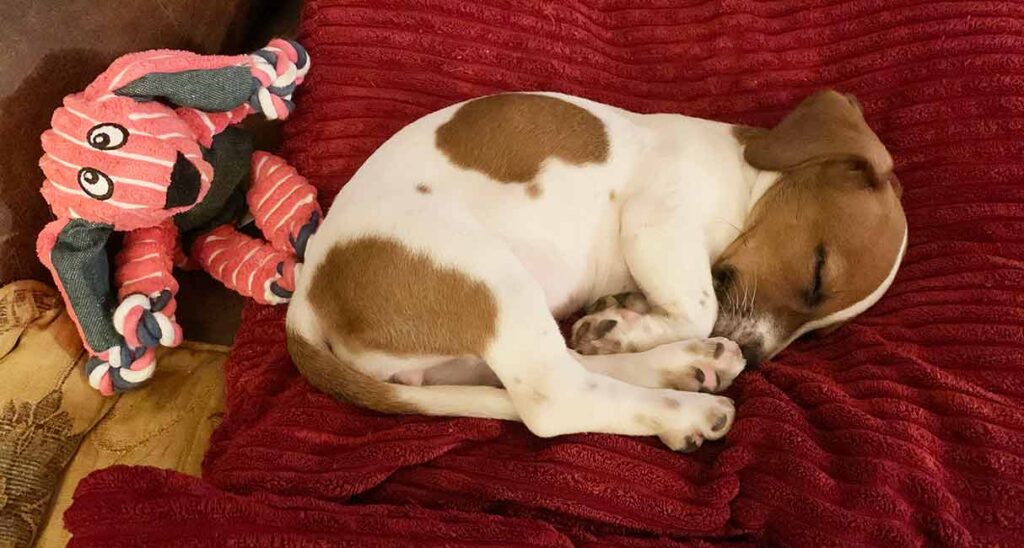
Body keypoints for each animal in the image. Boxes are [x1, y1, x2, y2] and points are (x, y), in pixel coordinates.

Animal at [284, 89, 909, 450]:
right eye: (817, 272)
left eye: (821, 332)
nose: (757, 356)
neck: (744, 175)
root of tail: (308, 291)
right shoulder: (657, 222)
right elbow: (701, 306)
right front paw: (640, 324)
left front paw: (626, 321)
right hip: (489, 275)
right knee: (553, 399)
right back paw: (685, 403)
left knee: (559, 369)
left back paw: (679, 364)